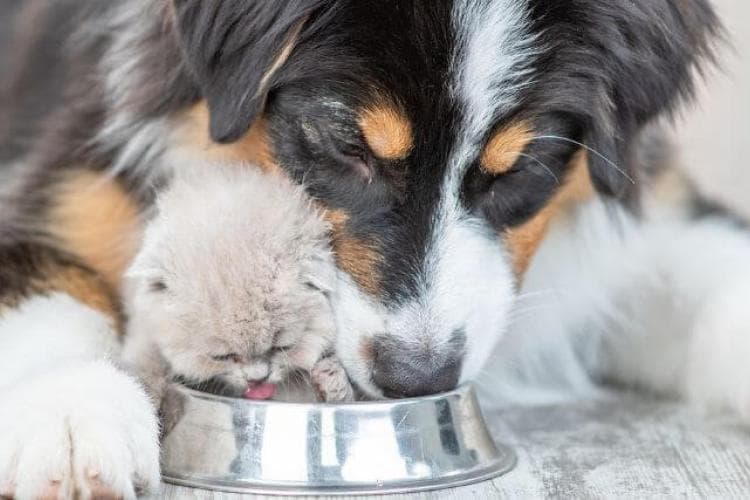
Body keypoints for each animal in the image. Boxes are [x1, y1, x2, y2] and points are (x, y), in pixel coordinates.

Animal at [123, 165, 356, 418]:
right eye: (222, 357)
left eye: (281, 347)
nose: (257, 380)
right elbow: (145, 355)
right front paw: (142, 394)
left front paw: (332, 381)